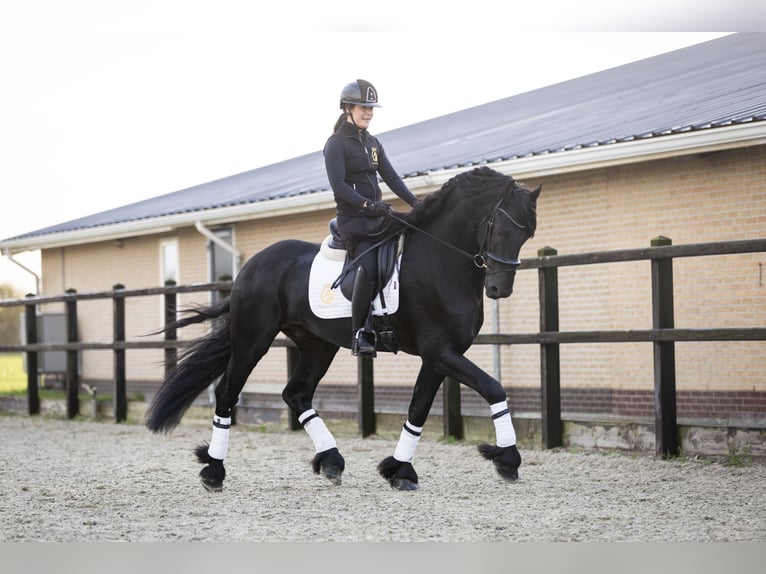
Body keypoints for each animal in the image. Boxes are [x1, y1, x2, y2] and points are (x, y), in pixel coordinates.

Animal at [147, 165, 544, 490]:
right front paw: (507, 459)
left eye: (528, 234)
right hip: (253, 340)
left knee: (296, 394)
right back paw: (214, 471)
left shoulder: (439, 356)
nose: (499, 289)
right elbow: (493, 388)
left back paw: (331, 461)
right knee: (228, 393)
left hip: (318, 345)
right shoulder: (441, 352)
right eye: (502, 228)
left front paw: (400, 470)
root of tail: (250, 267)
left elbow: (418, 409)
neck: (439, 260)